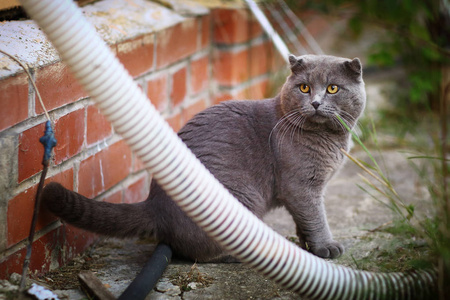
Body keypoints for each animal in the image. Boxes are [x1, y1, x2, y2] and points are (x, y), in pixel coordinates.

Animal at [41, 54, 366, 262]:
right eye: (304, 87)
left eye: (333, 88)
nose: (315, 102)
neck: (330, 139)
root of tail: (155, 206)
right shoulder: (301, 186)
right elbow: (316, 217)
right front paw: (326, 247)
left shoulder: (306, 190)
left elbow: (304, 221)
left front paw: (308, 245)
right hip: (237, 200)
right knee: (201, 252)